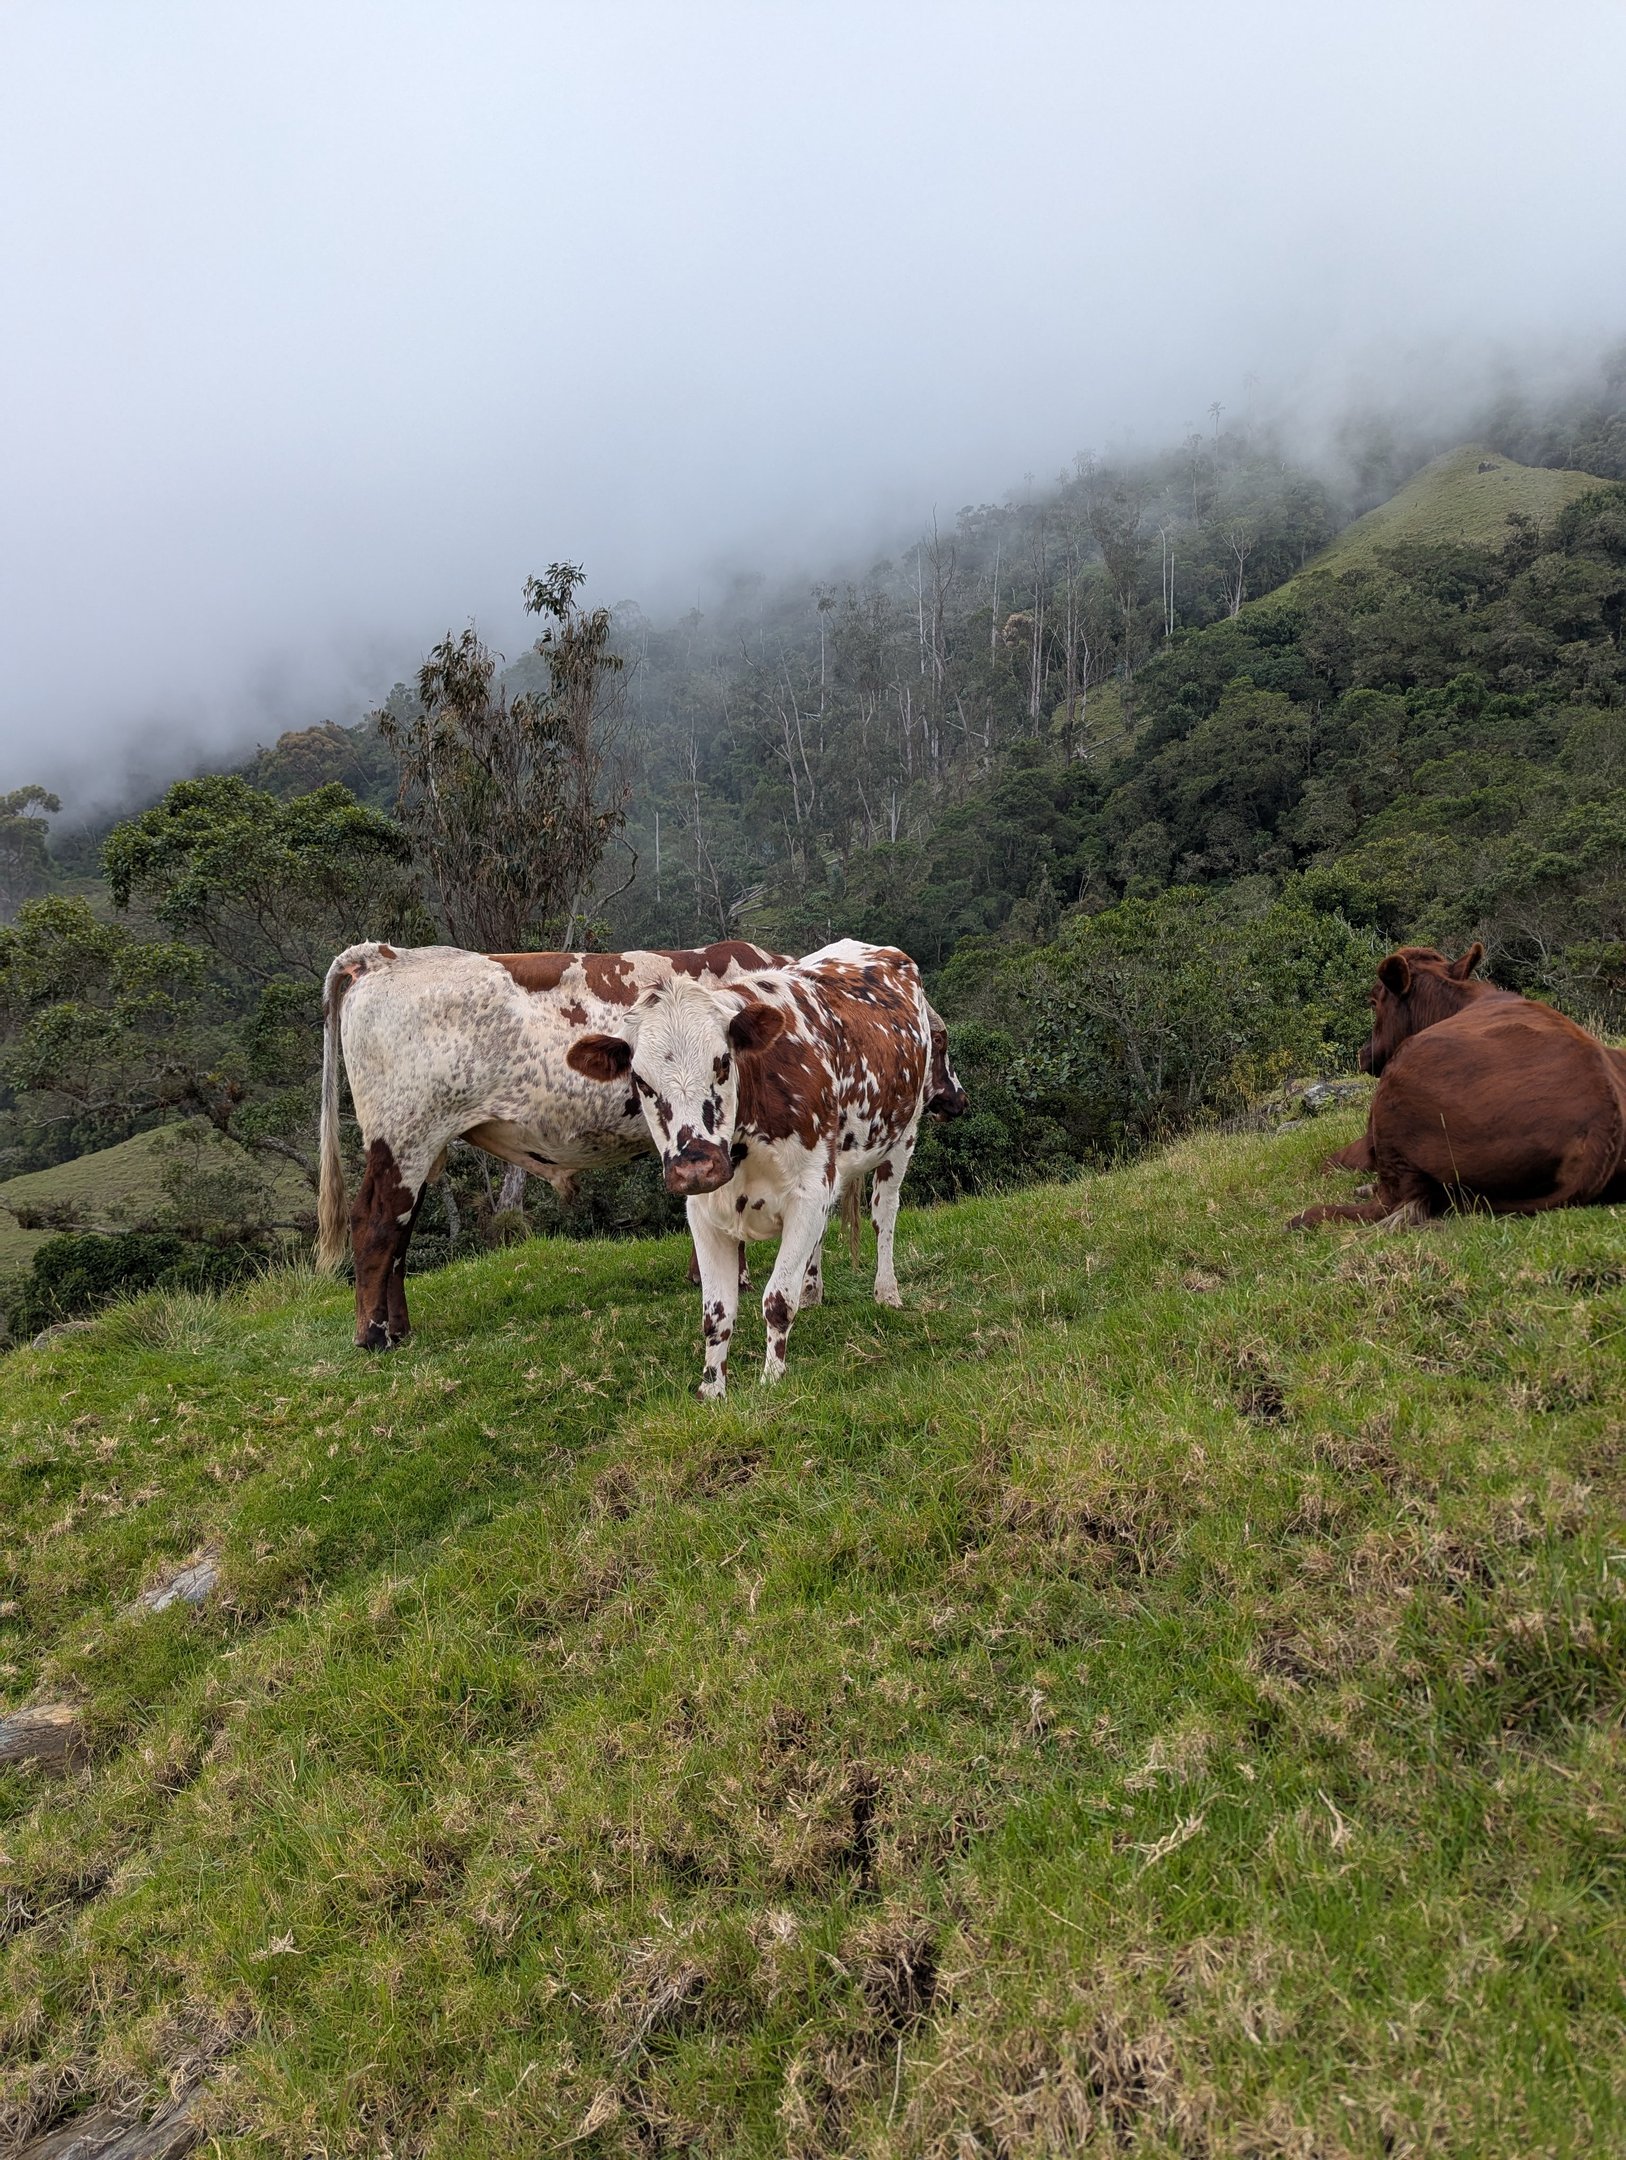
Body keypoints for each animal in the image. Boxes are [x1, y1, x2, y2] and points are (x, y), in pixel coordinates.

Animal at [315, 939, 785, 1348]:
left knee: (401, 1229)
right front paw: (734, 1276)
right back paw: (374, 1335)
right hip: (402, 1137)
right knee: (375, 1223)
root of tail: (386, 954)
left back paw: (399, 1328)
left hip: (420, 1149)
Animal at [564, 939, 964, 1396]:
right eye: (642, 1081)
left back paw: (887, 1291)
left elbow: (777, 1300)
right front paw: (712, 1389)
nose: (695, 1166)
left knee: (884, 1216)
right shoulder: (705, 1212)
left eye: (723, 1062)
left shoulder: (808, 1191)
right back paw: (813, 1291)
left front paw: (772, 1380)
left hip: (903, 1138)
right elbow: (716, 1313)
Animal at [1291, 943, 1626, 1228]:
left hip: (1393, 1098)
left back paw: (1307, 1216)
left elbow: (1331, 1161)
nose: (1363, 1053)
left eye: (1374, 1002)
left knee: (1390, 1201)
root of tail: (1603, 1122)